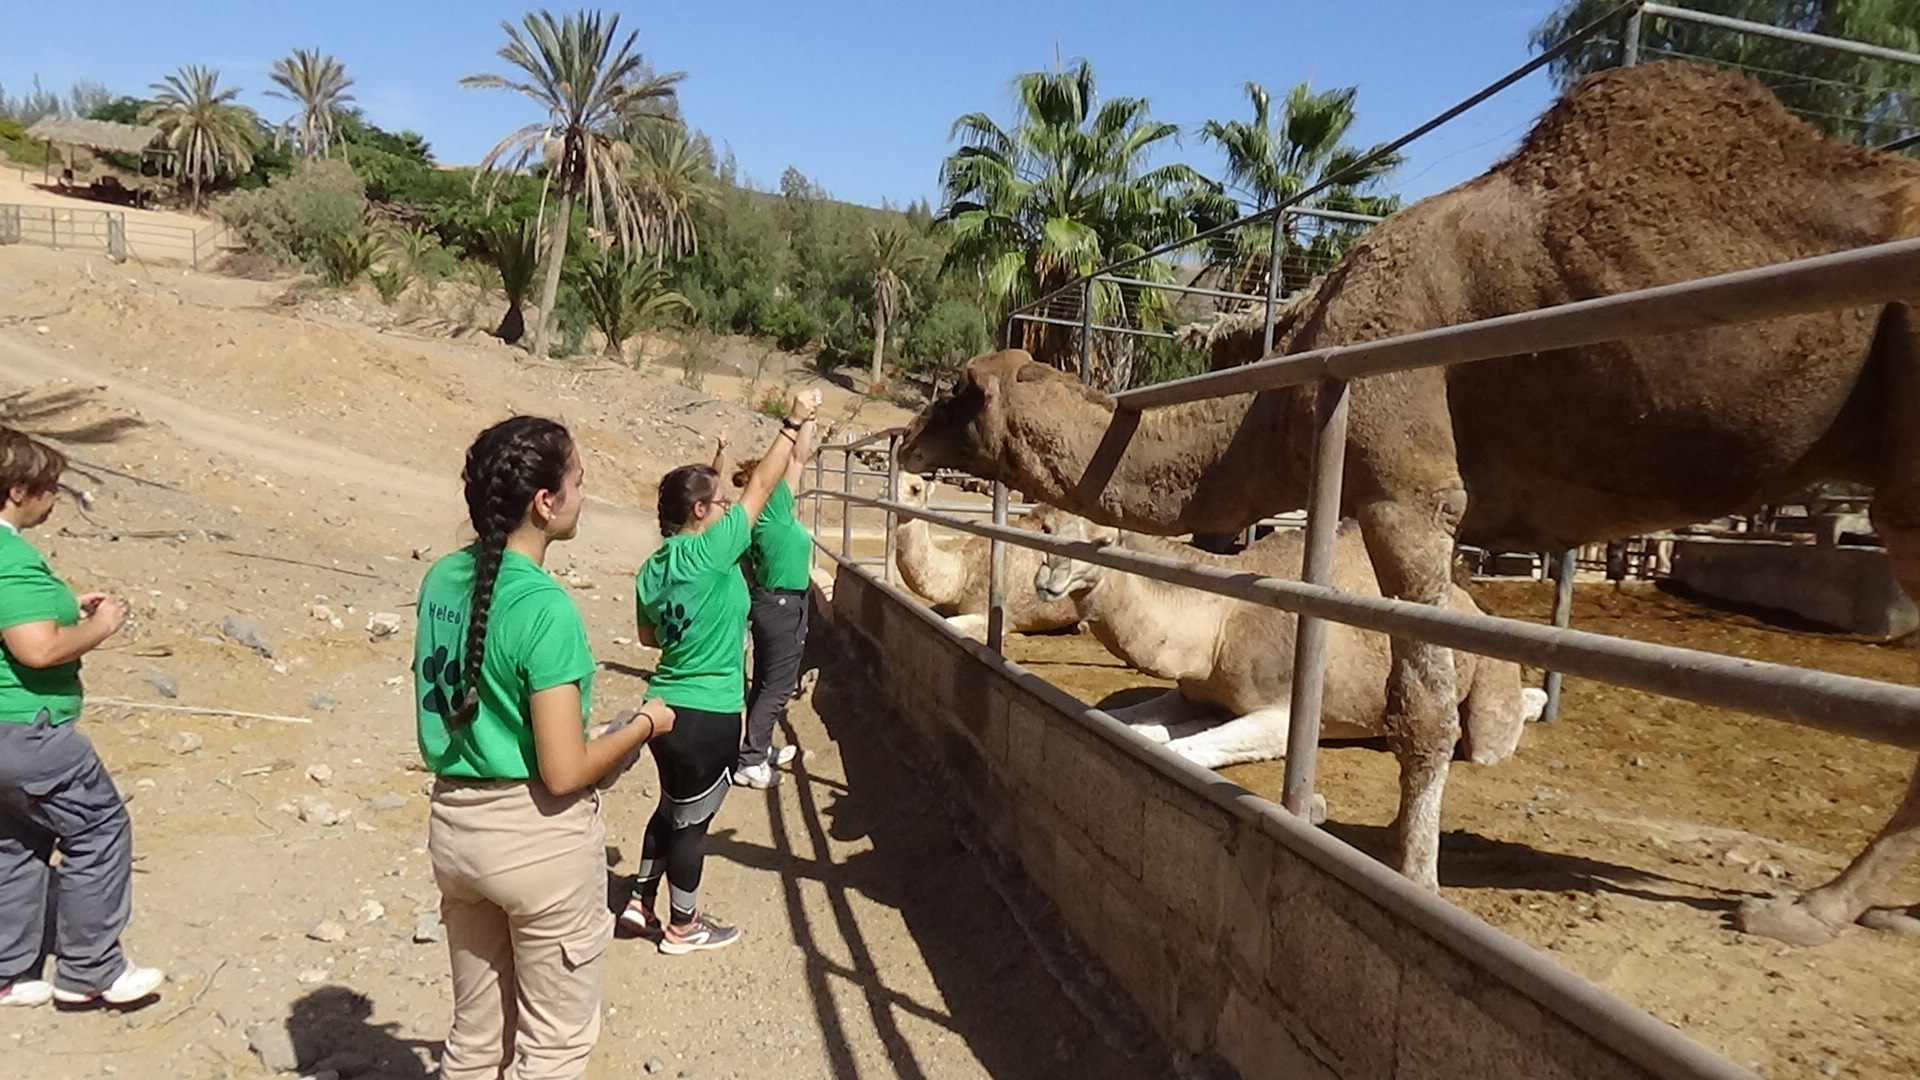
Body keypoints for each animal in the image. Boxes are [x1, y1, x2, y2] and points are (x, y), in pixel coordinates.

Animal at [1036, 507, 1543, 768]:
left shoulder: (1283, 717)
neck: (1218, 623)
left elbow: (1184, 747)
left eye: (1101, 540)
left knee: (1489, 741)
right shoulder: (1194, 693)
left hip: (1489, 689)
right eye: (1045, 529)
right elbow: (1136, 722)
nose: (1048, 579)